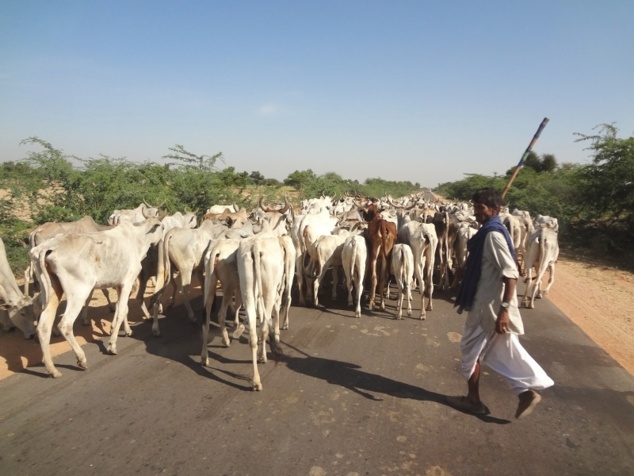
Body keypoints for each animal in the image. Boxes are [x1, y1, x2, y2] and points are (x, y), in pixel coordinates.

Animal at [29, 218, 163, 378]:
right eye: (162, 227)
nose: (162, 240)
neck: (138, 238)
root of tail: (47, 248)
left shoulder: (119, 284)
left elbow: (123, 309)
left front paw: (126, 330)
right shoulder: (128, 281)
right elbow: (121, 311)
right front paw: (112, 345)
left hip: (52, 290)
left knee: (43, 323)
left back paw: (52, 369)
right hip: (79, 291)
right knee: (65, 324)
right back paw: (81, 359)